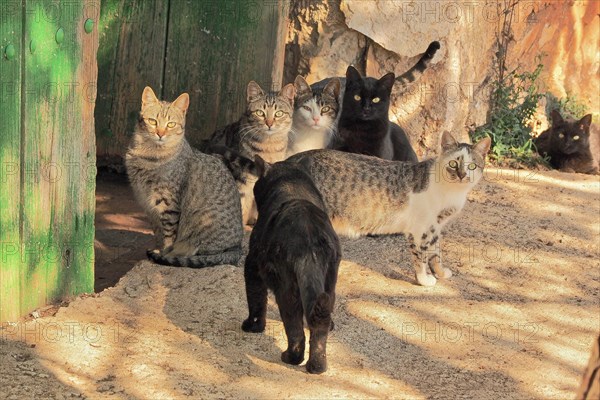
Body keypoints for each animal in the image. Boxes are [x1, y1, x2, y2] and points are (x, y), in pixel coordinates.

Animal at [241, 157, 340, 376]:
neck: (291, 184)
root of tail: (309, 237)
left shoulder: (252, 265)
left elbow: (256, 300)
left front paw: (253, 326)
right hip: (329, 284)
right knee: (319, 325)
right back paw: (317, 366)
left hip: (286, 289)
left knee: (295, 332)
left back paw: (289, 357)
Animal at [288, 133, 492, 286]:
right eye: (453, 163)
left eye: (472, 166)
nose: (462, 175)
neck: (451, 192)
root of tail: (290, 161)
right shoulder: (420, 230)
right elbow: (421, 255)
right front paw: (424, 279)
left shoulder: (435, 227)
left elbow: (436, 253)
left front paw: (440, 273)